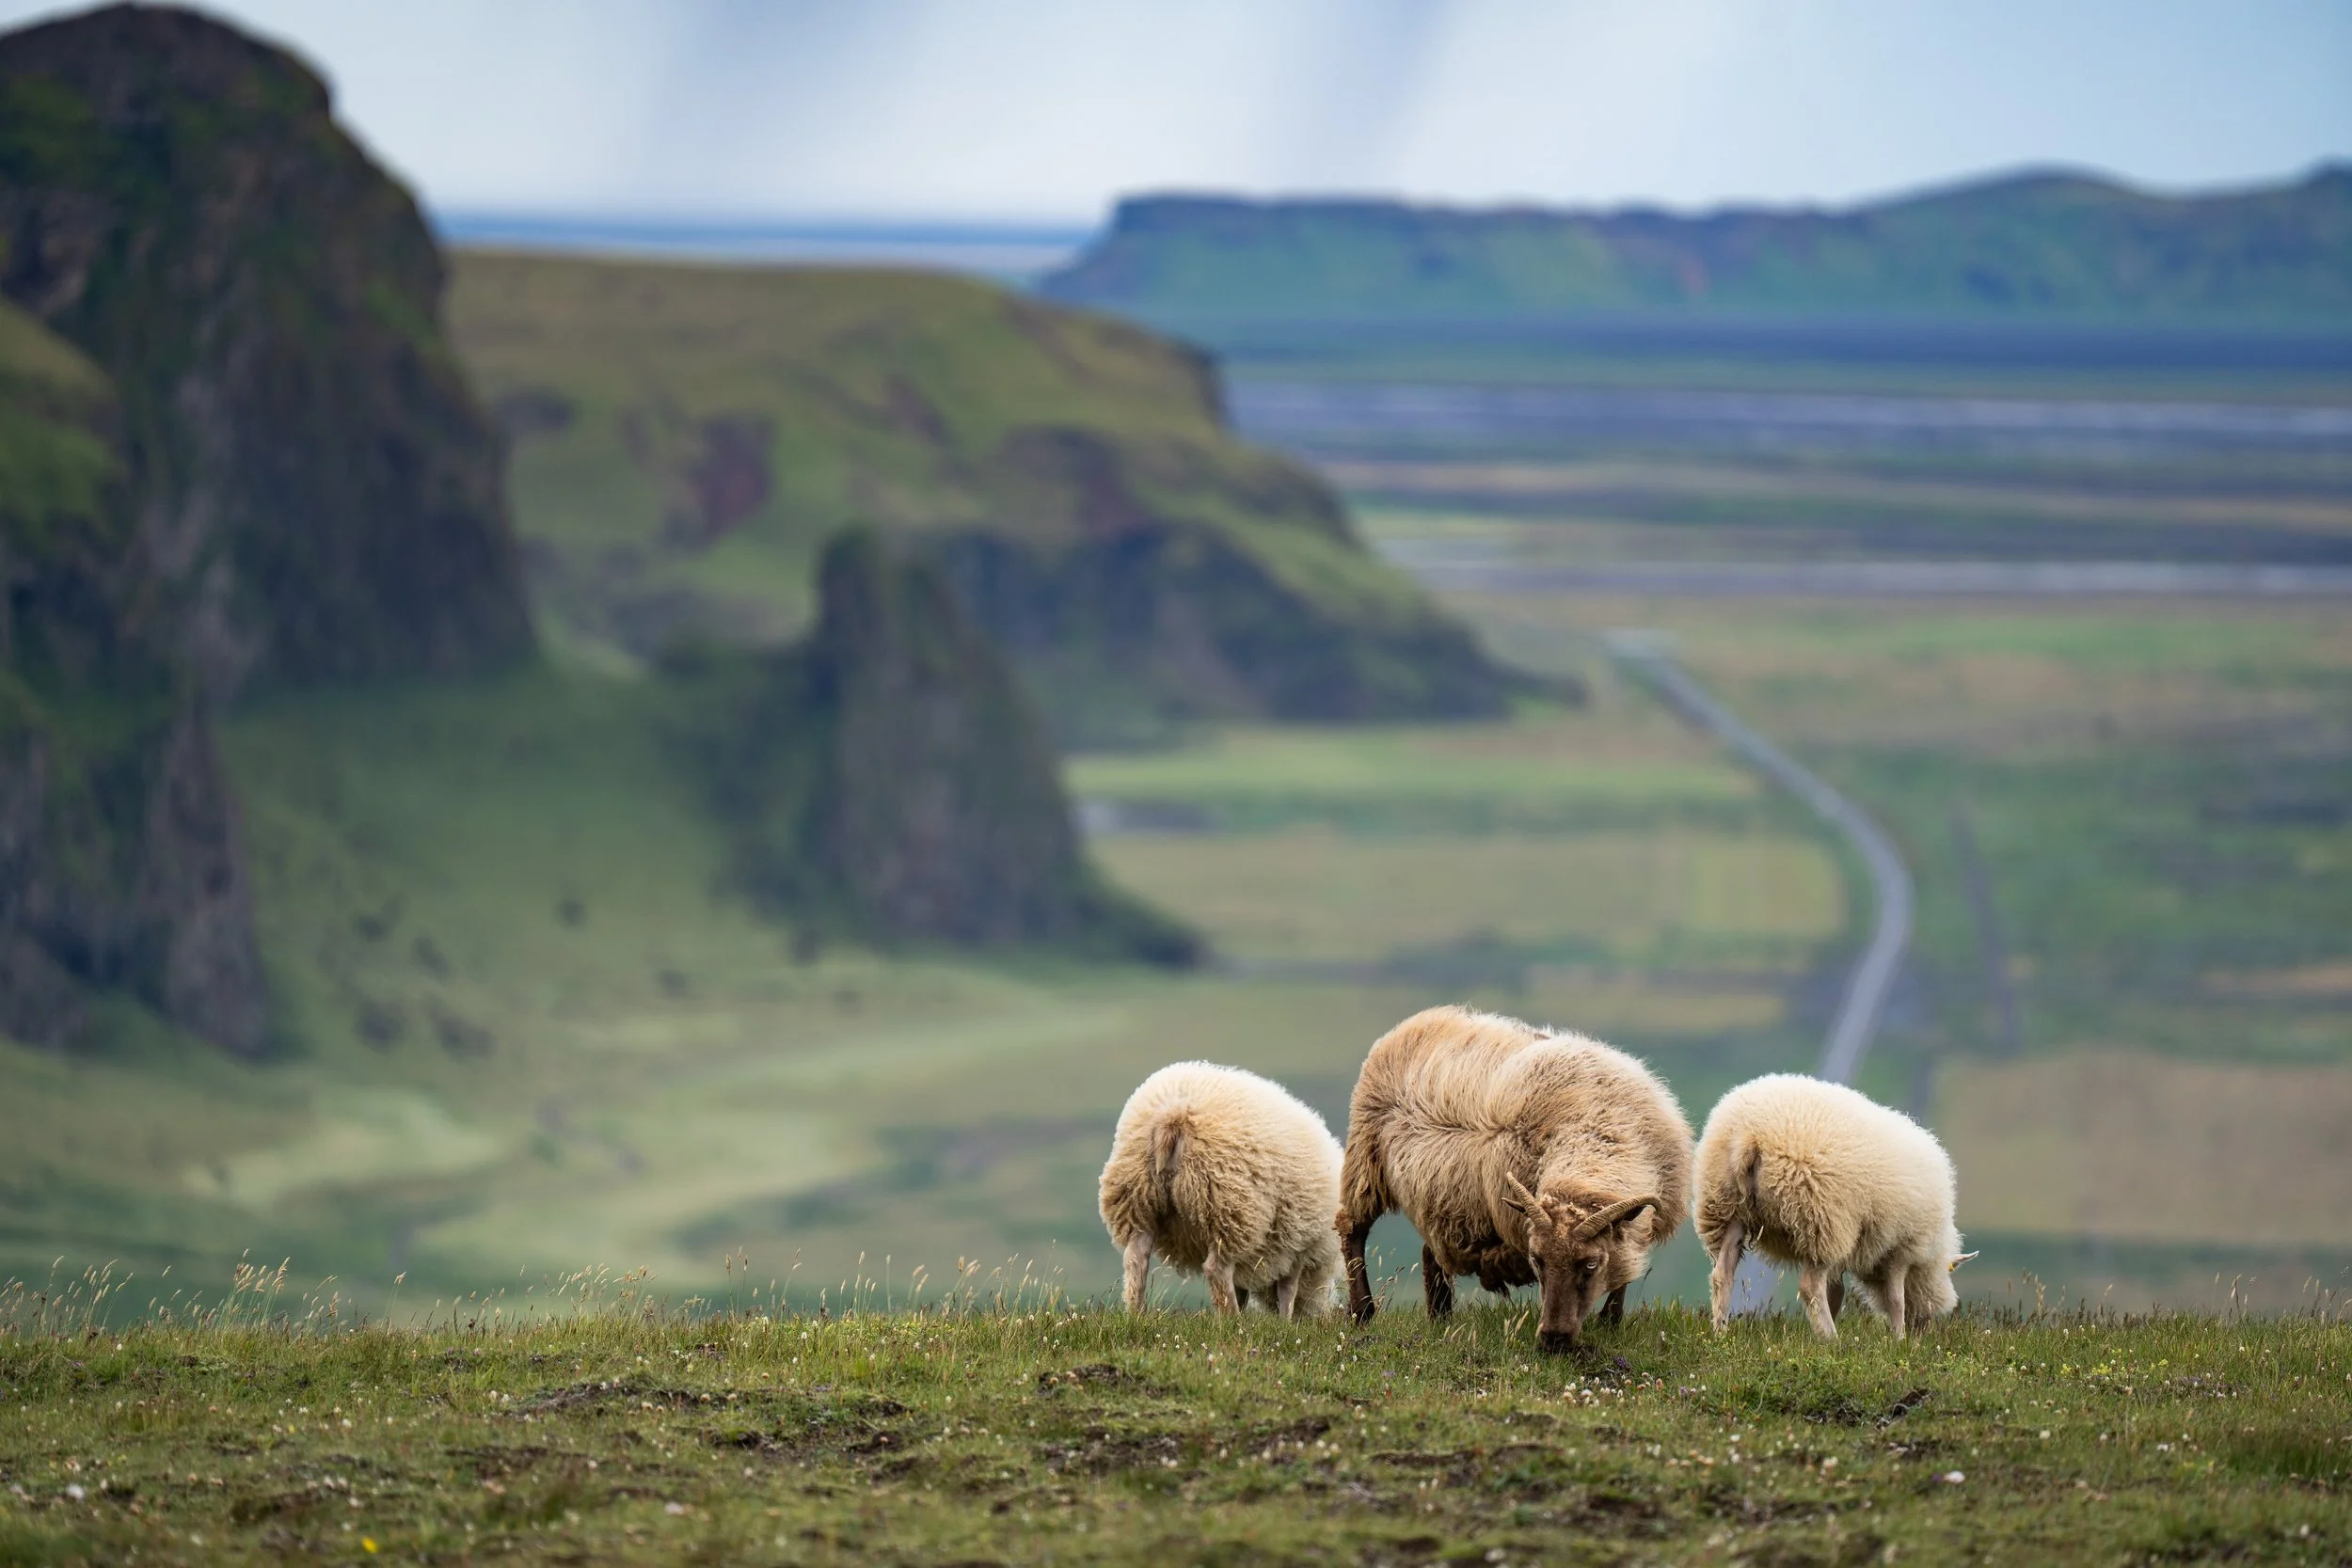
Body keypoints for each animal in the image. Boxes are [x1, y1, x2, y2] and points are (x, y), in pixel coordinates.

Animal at [1099, 1061, 1343, 1318]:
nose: (1321, 1315)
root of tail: (1172, 1118)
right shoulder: (1299, 1243)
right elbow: (1288, 1289)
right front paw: (1284, 1320)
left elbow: (1245, 1288)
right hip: (1226, 1206)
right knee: (1217, 1269)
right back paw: (1231, 1319)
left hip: (1137, 1197)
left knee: (1136, 1258)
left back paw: (1136, 1313)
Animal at [1335, 1005, 1692, 1351]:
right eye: (1537, 1260)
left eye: (1591, 1264)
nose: (1553, 1339)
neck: (1595, 1133)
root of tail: (1416, 1022)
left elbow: (1623, 1273)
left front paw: (1610, 1323)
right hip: (1365, 1160)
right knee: (1353, 1230)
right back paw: (1363, 1312)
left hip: (1443, 1201)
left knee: (1431, 1254)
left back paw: (1440, 1319)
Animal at [1694, 1073, 1976, 1340]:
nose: (1922, 1333)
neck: (1929, 1259)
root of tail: (1749, 1136)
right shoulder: (1900, 1248)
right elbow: (1897, 1300)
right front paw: (1899, 1339)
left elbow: (1836, 1292)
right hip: (1822, 1218)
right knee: (1809, 1287)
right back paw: (1833, 1340)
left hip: (1726, 1206)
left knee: (1722, 1274)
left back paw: (1721, 1331)